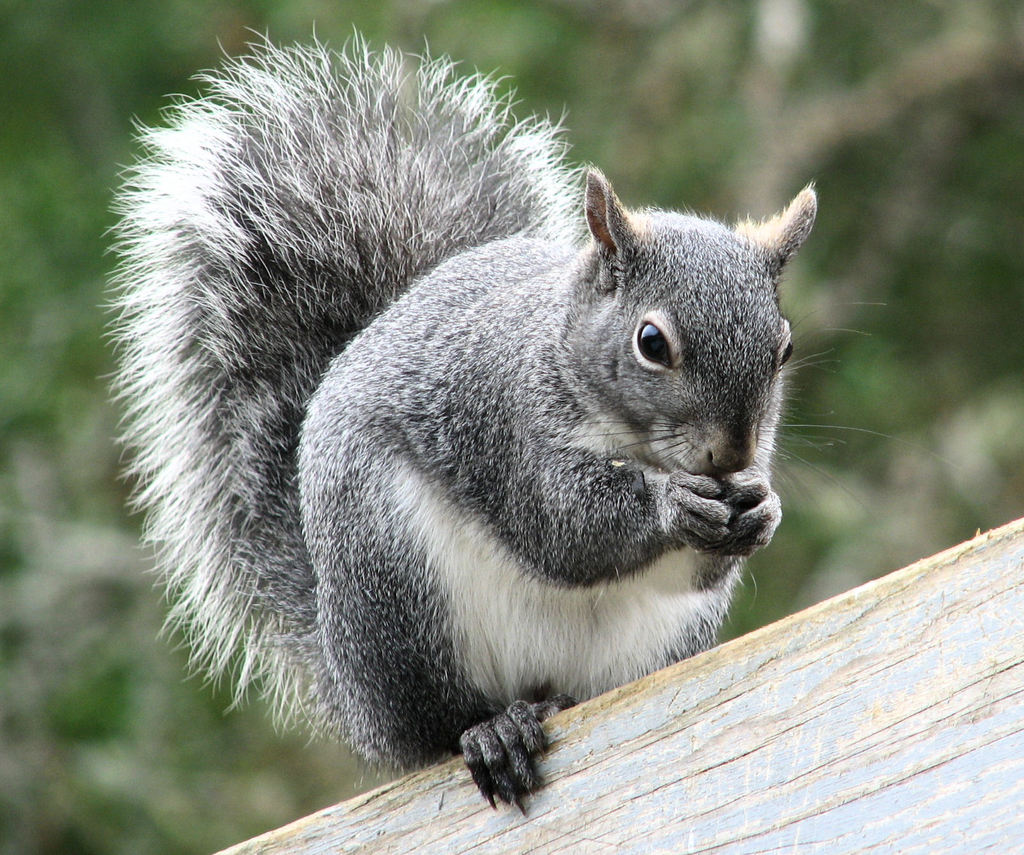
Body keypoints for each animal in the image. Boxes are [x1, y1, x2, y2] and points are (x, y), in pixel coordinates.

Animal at [111, 38, 815, 809]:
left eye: (783, 347)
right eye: (651, 342)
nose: (732, 454)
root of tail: (353, 689)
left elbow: (694, 570)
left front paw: (762, 509)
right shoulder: (498, 420)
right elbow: (559, 525)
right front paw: (670, 504)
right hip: (397, 583)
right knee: (440, 725)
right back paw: (491, 732)